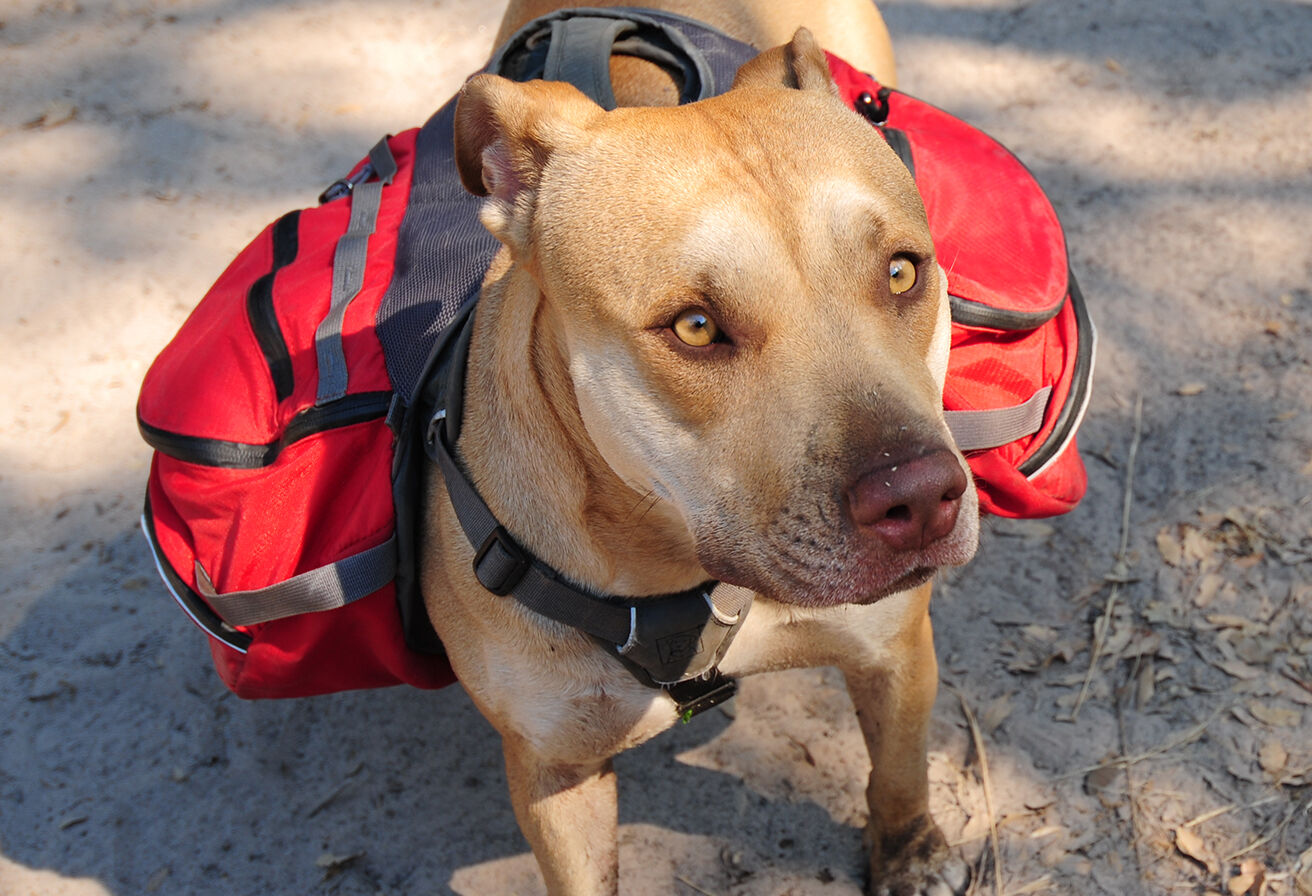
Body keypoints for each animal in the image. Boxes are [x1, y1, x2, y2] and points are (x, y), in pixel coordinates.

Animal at [425, 3, 981, 892]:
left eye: (902, 272)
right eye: (693, 327)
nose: (922, 496)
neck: (680, 569)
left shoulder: (893, 650)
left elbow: (898, 769)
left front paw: (909, 852)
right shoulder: (555, 771)